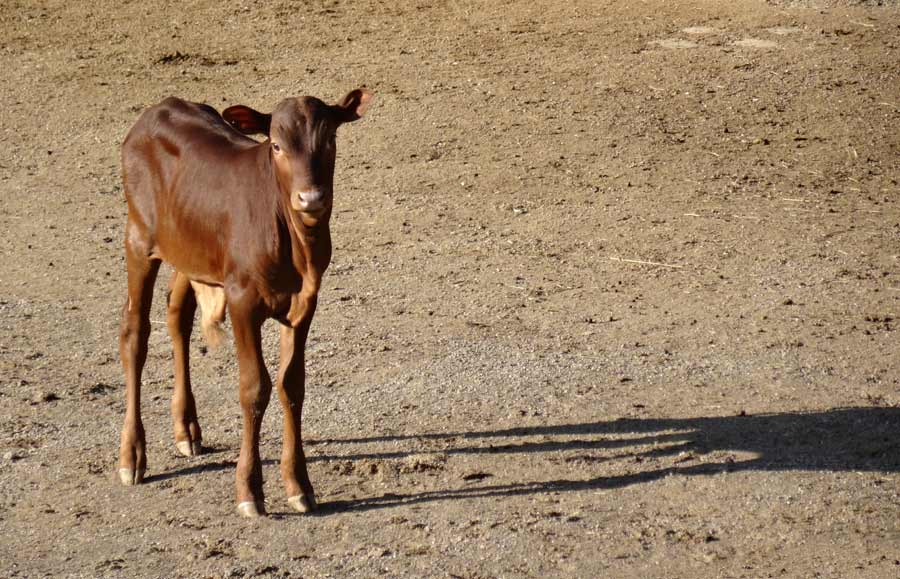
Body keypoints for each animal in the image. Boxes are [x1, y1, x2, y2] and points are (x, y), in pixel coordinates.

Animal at [118, 89, 372, 516]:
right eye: (277, 145)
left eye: (330, 140)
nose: (311, 198)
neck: (296, 246)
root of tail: (157, 110)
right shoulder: (242, 300)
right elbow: (254, 388)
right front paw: (249, 491)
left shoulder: (305, 301)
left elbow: (292, 385)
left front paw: (298, 485)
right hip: (138, 239)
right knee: (135, 333)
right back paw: (132, 456)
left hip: (191, 248)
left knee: (178, 313)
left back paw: (187, 428)